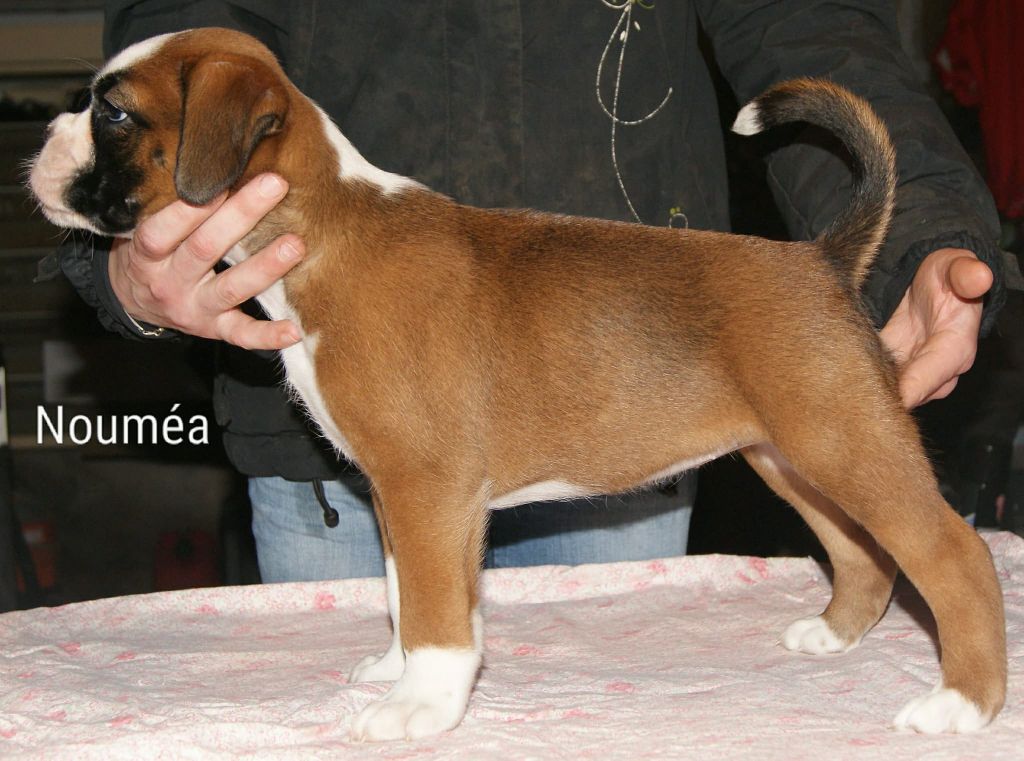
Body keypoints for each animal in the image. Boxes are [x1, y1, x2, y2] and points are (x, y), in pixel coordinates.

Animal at [29, 27, 1006, 741]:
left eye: (113, 113)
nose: (43, 137)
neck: (323, 228)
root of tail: (823, 258)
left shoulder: (426, 490)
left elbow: (433, 609)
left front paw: (418, 707)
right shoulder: (410, 501)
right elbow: (412, 595)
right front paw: (409, 676)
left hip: (845, 444)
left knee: (954, 555)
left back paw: (963, 704)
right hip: (793, 457)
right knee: (864, 551)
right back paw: (834, 635)